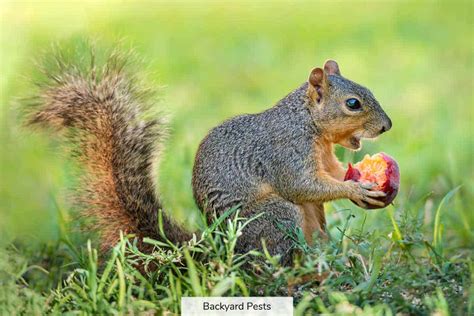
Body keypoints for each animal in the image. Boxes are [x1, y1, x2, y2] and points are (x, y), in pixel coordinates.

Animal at [28, 51, 392, 264]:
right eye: (353, 103)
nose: (387, 126)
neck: (308, 124)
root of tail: (214, 245)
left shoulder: (325, 156)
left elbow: (333, 173)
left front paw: (360, 188)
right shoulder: (285, 150)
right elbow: (301, 185)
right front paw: (356, 190)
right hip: (273, 217)